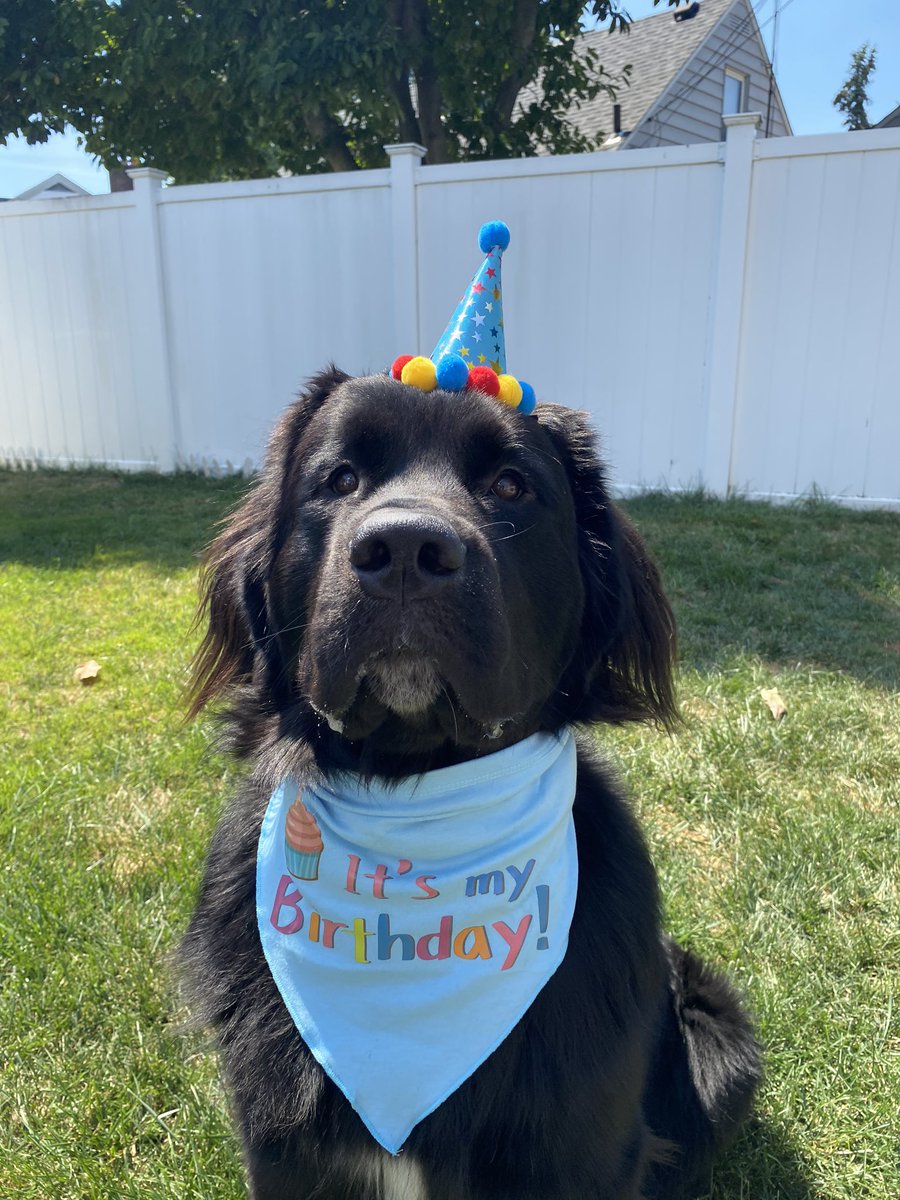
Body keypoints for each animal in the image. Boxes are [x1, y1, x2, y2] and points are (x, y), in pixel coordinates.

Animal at [183, 369, 763, 1195]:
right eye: (341, 478)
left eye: (510, 485)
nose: (403, 549)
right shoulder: (282, 1150)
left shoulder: (583, 1150)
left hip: (717, 1039)